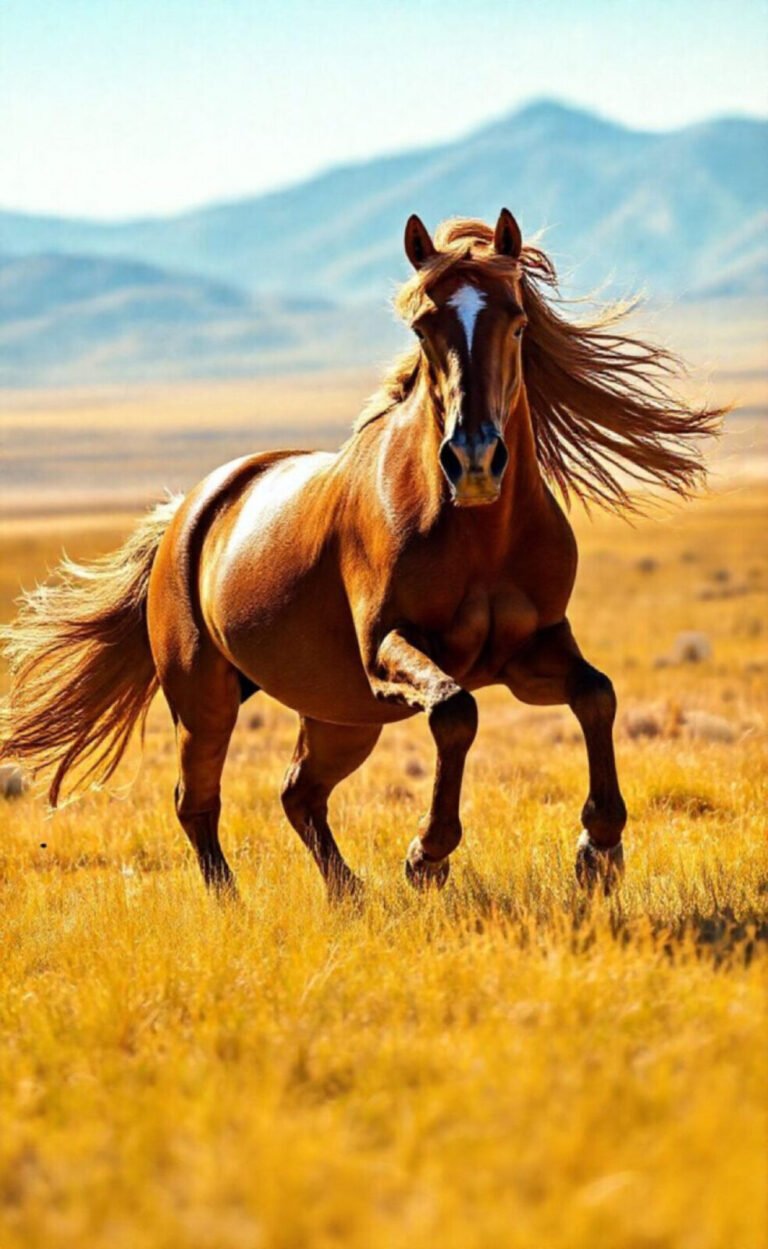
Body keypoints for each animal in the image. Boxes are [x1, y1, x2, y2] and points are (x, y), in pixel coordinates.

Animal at [0, 211, 723, 901]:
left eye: (517, 323)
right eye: (423, 328)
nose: (474, 460)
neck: (479, 534)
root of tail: (188, 511)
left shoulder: (531, 649)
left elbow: (597, 695)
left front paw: (599, 850)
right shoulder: (385, 650)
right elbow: (456, 711)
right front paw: (427, 855)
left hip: (339, 713)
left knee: (298, 793)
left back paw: (349, 893)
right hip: (209, 699)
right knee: (196, 801)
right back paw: (235, 903)